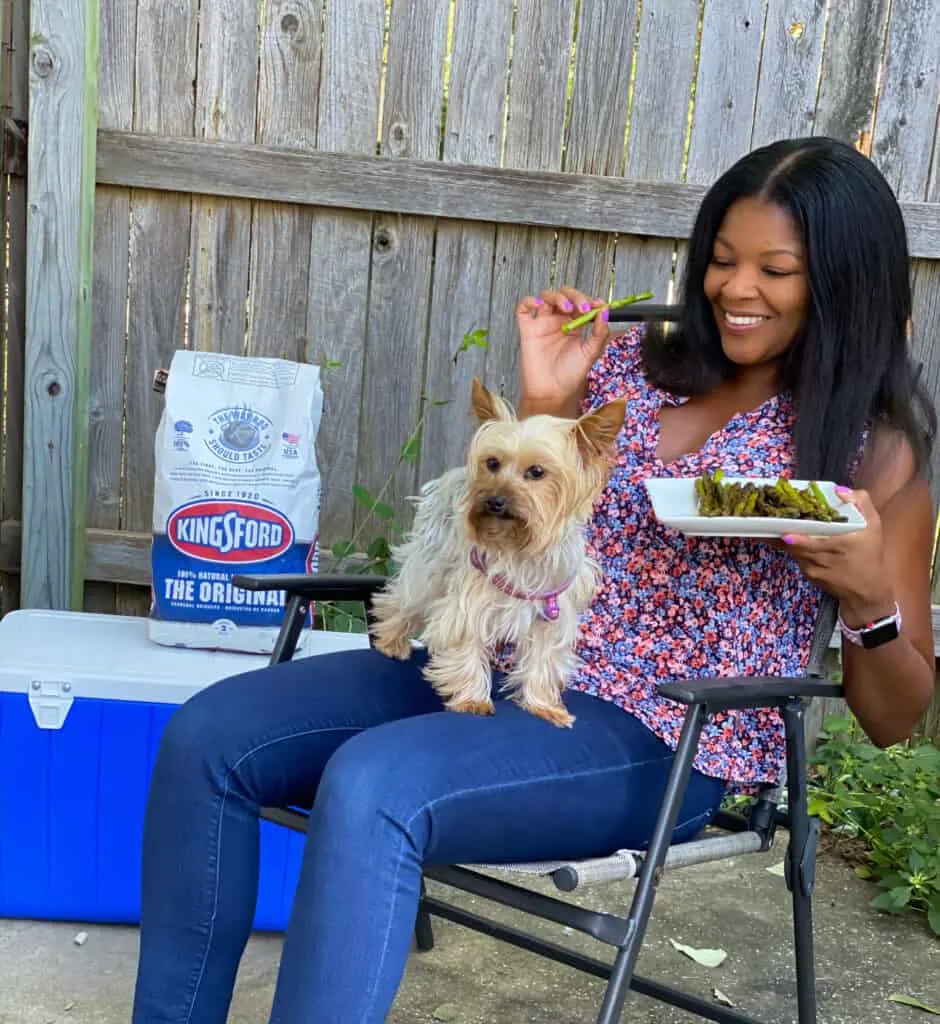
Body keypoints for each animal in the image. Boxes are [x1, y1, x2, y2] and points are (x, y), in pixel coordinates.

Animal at [370, 378, 630, 729]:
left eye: (537, 472)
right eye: (492, 463)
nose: (494, 500)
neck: (519, 549)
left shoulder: (551, 615)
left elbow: (543, 659)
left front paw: (544, 706)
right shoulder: (470, 600)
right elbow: (465, 642)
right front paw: (472, 700)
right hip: (431, 561)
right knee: (403, 598)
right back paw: (391, 642)